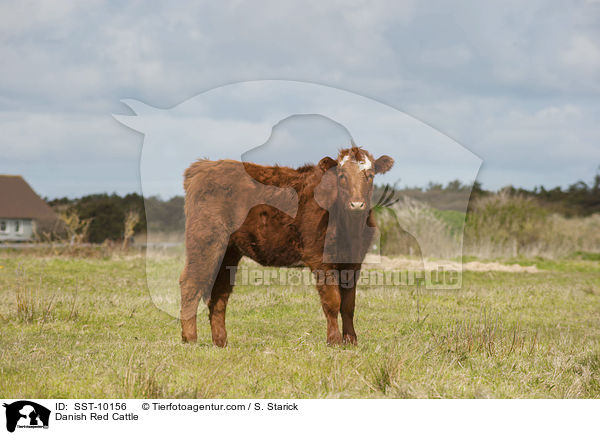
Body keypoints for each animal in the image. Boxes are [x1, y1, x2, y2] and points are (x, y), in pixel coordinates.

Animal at [178, 146, 394, 348]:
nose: (356, 204)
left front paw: (351, 341)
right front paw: (334, 341)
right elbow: (333, 301)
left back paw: (220, 341)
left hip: (228, 252)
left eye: (370, 174)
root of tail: (204, 165)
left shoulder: (354, 262)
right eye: (341, 175)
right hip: (205, 241)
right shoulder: (320, 259)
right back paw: (190, 339)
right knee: (190, 284)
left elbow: (349, 305)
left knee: (219, 293)